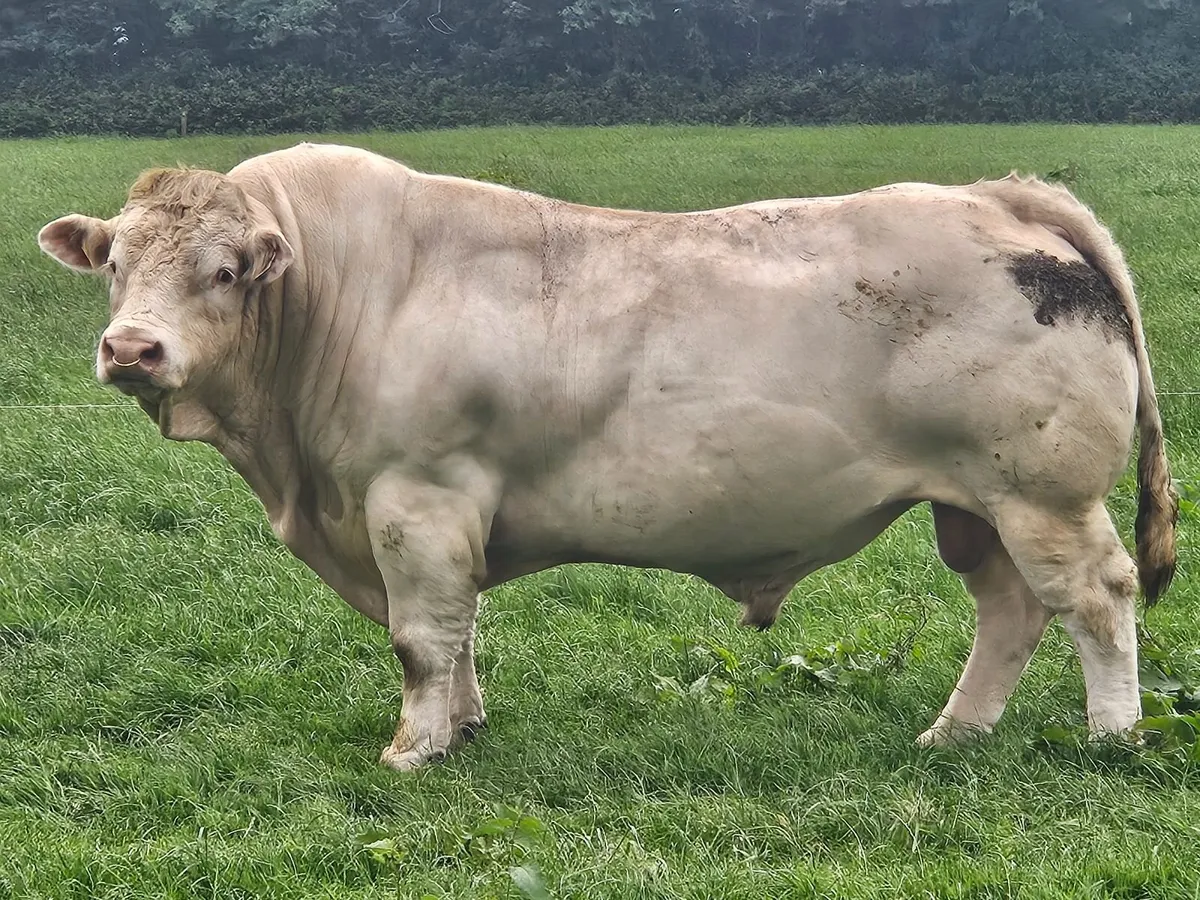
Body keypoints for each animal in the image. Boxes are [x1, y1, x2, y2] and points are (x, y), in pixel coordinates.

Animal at [37, 142, 1177, 771]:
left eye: (226, 270)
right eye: (116, 265)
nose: (132, 349)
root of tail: (999, 194)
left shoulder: (416, 500)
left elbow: (421, 639)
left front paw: (413, 750)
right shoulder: (440, 519)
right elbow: (459, 634)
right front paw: (462, 730)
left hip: (1042, 494)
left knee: (1097, 596)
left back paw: (1111, 737)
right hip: (973, 504)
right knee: (1011, 610)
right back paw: (955, 734)